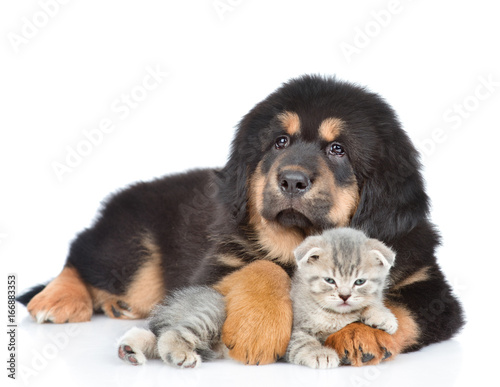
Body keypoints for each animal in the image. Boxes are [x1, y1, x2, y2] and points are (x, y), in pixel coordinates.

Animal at [286, 229, 398, 372]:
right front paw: (320, 354)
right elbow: (302, 342)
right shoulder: (296, 327)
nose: (344, 296)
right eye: (329, 280)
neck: (336, 316)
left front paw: (382, 316)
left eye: (359, 282)